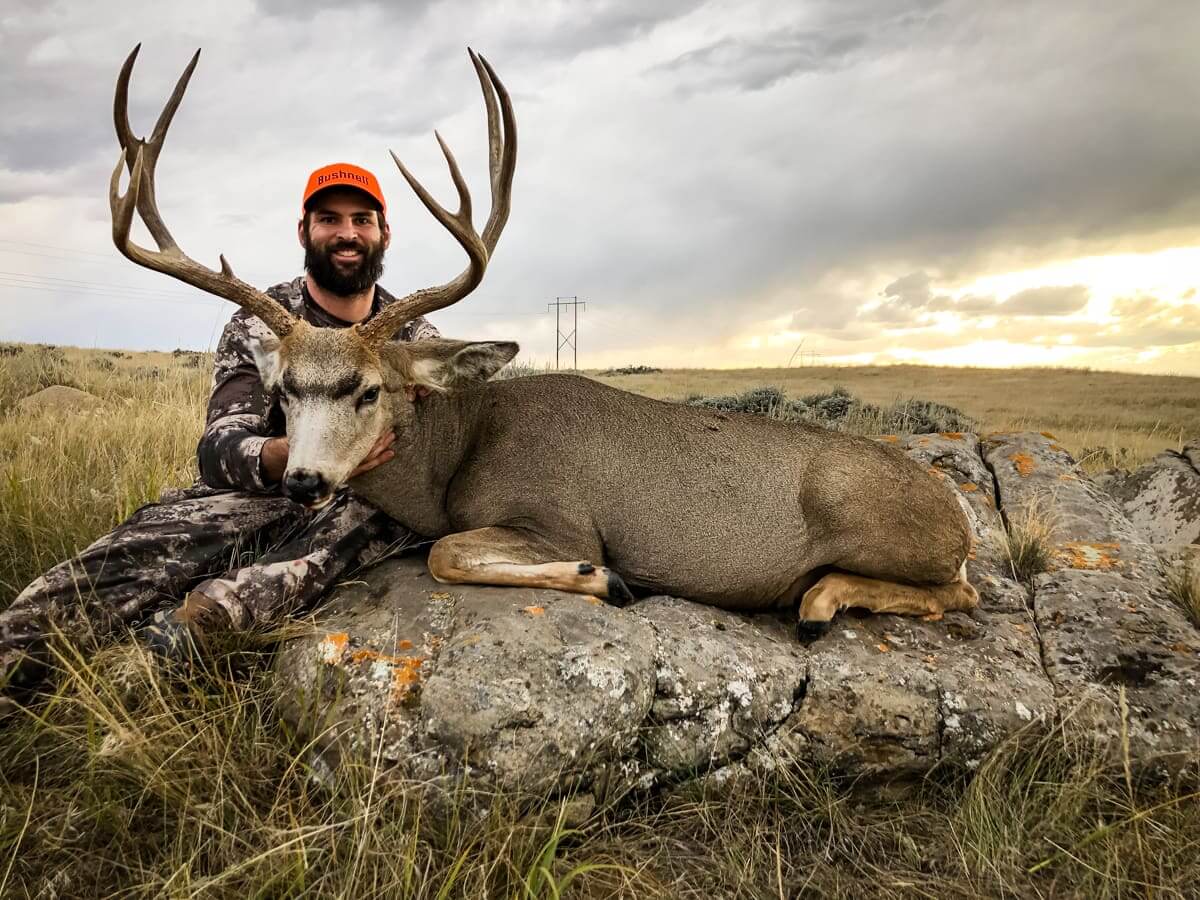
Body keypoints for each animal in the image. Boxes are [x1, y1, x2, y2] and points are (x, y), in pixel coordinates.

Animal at [110, 46, 979, 638]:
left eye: (369, 388)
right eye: (284, 390)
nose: (302, 480)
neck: (458, 453)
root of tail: (962, 516)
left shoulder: (558, 516)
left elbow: (447, 554)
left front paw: (610, 579)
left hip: (871, 519)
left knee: (961, 589)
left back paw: (818, 600)